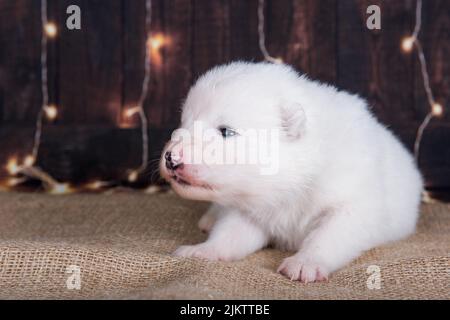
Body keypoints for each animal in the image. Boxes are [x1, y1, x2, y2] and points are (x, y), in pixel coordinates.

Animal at [160, 61, 424, 282]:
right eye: (183, 123)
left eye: (225, 131)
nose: (171, 158)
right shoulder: (248, 208)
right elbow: (230, 233)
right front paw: (201, 250)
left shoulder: (352, 202)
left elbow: (330, 234)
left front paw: (305, 263)